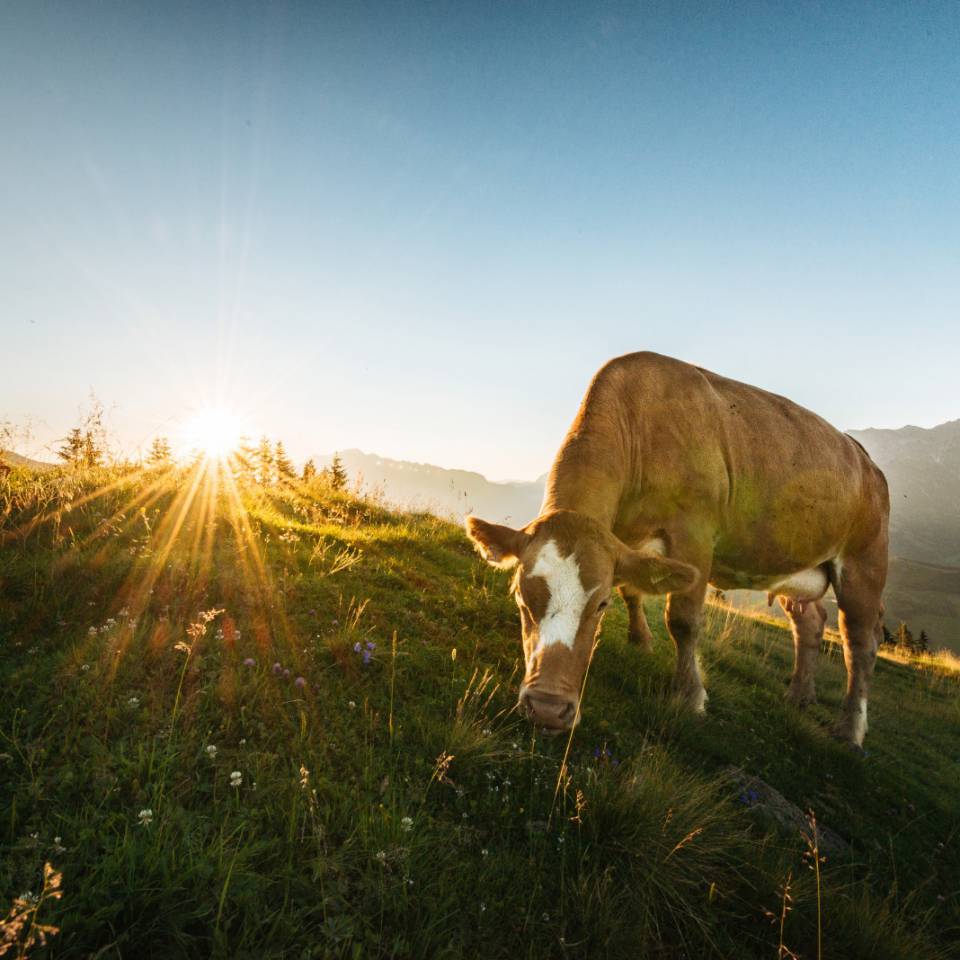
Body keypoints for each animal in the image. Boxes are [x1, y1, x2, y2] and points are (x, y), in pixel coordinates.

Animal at [464, 348, 884, 748]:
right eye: (520, 597)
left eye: (600, 605)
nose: (548, 708)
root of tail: (865, 458)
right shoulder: (624, 544)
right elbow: (633, 590)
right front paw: (641, 641)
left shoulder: (693, 533)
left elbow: (683, 620)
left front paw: (690, 696)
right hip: (796, 565)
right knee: (810, 622)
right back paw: (799, 696)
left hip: (864, 561)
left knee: (859, 642)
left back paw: (850, 731)